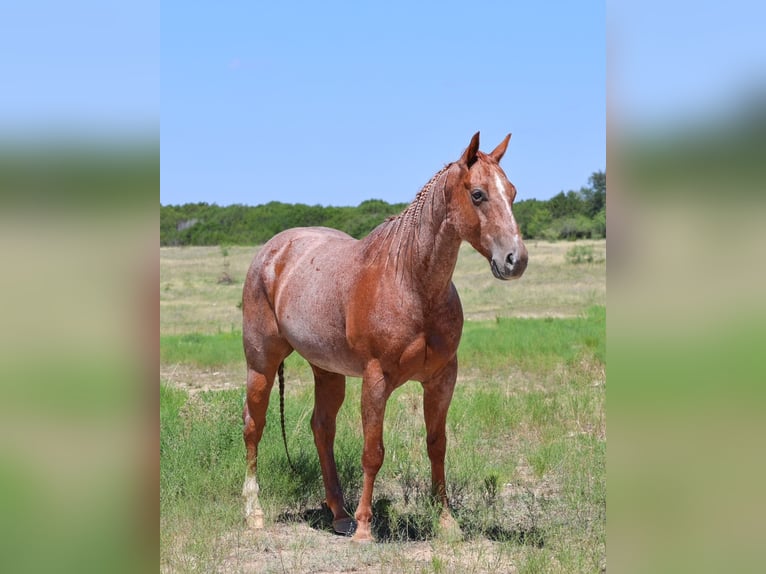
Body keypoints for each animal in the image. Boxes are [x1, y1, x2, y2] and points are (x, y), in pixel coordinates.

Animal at [241, 132, 528, 542]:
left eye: (513, 192)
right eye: (477, 194)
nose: (514, 260)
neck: (411, 283)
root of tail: (271, 251)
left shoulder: (442, 379)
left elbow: (437, 445)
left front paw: (446, 522)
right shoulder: (376, 380)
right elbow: (372, 451)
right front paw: (365, 527)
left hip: (327, 371)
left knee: (321, 429)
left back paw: (339, 515)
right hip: (261, 365)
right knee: (254, 426)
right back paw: (255, 512)